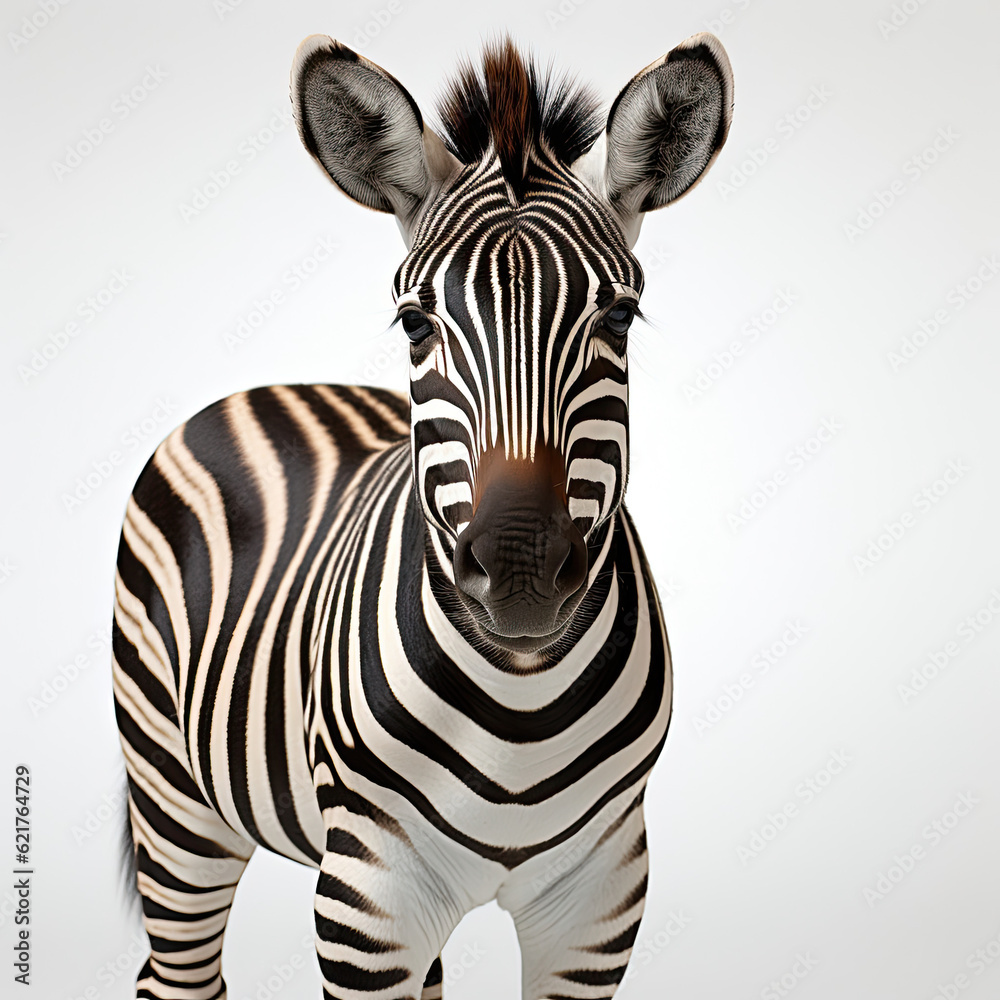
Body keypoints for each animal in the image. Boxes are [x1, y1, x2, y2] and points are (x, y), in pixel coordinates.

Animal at [111, 29, 736, 1000]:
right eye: (415, 324)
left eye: (620, 319)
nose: (521, 570)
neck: (520, 703)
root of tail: (270, 386)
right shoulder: (368, 901)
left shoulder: (600, 901)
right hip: (173, 793)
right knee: (176, 972)